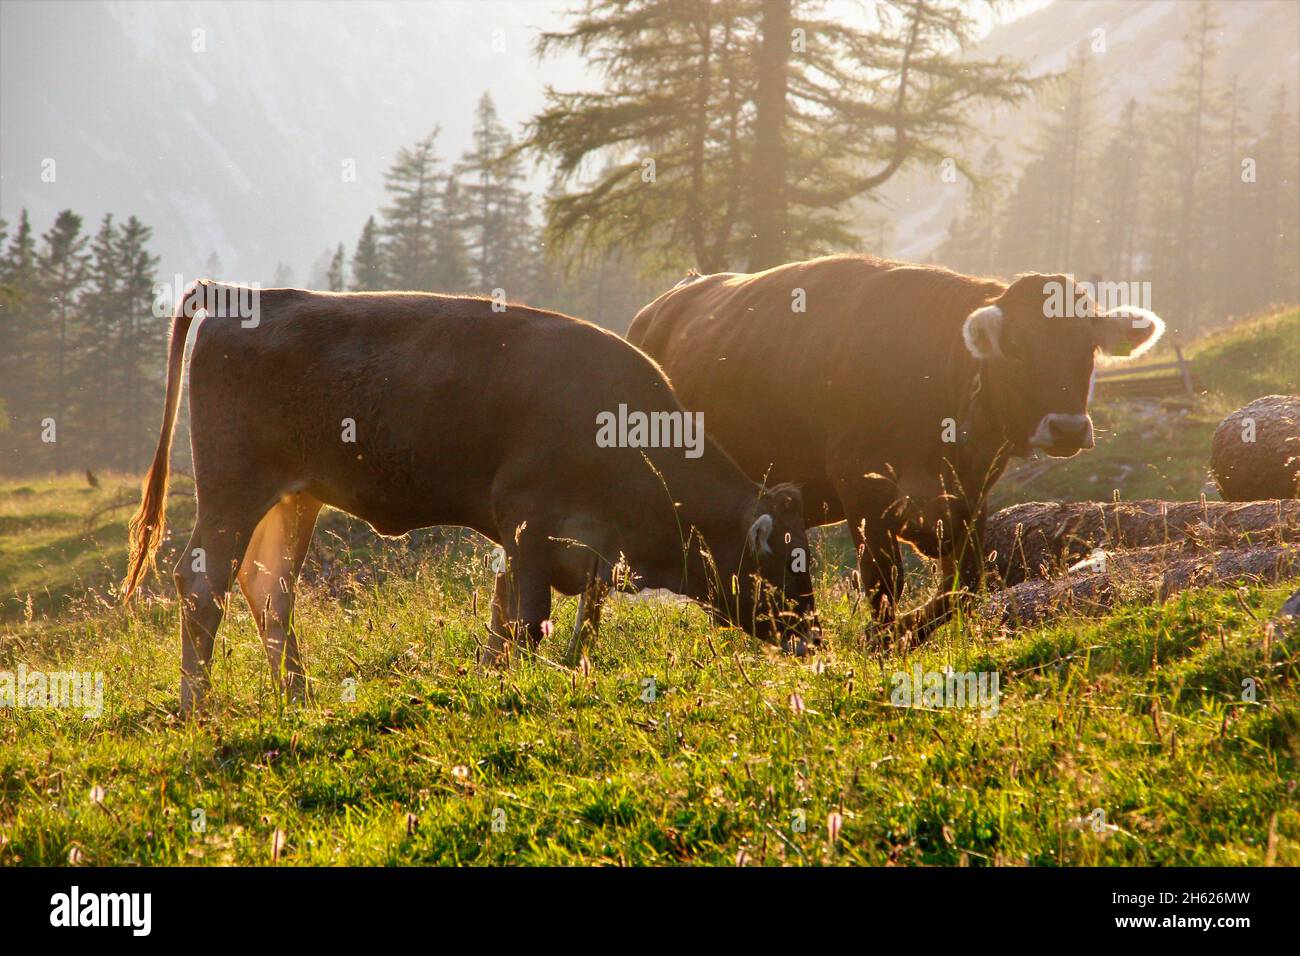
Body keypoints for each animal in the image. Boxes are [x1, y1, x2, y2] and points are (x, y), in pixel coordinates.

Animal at [126, 280, 816, 712]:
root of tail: (238, 295)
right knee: (204, 585)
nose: (814, 638)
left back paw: (298, 698)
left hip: (293, 499)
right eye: (788, 561)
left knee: (270, 588)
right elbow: (527, 622)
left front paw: (518, 677)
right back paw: (200, 707)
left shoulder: (577, 548)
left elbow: (541, 623)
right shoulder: (528, 524)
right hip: (232, 493)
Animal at [624, 257, 1164, 639]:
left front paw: (901, 634)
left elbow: (965, 585)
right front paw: (879, 641)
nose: (1068, 429)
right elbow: (883, 582)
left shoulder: (970, 496)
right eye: (1016, 347)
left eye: (1086, 348)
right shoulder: (860, 483)